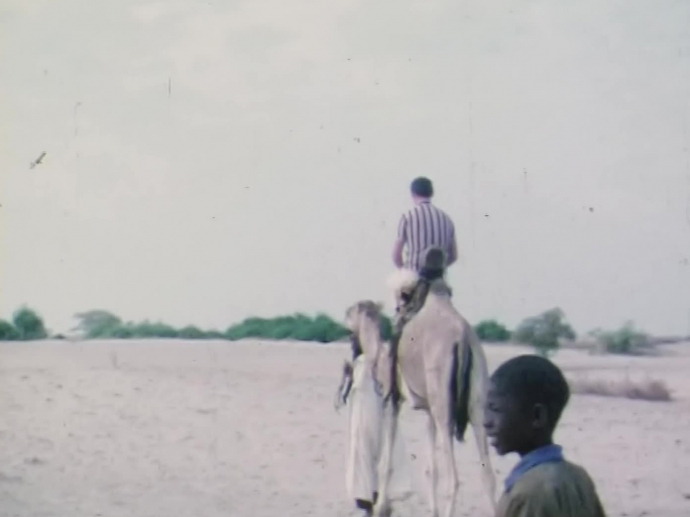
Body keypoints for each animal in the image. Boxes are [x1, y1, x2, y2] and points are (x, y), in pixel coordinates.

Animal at [344, 270, 494, 516]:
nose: (345, 314)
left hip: (443, 401)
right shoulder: (428, 410)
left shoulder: (393, 400)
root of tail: (463, 339)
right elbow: (430, 468)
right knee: (487, 474)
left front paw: (381, 506)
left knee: (453, 479)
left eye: (355, 309)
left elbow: (387, 463)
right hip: (477, 399)